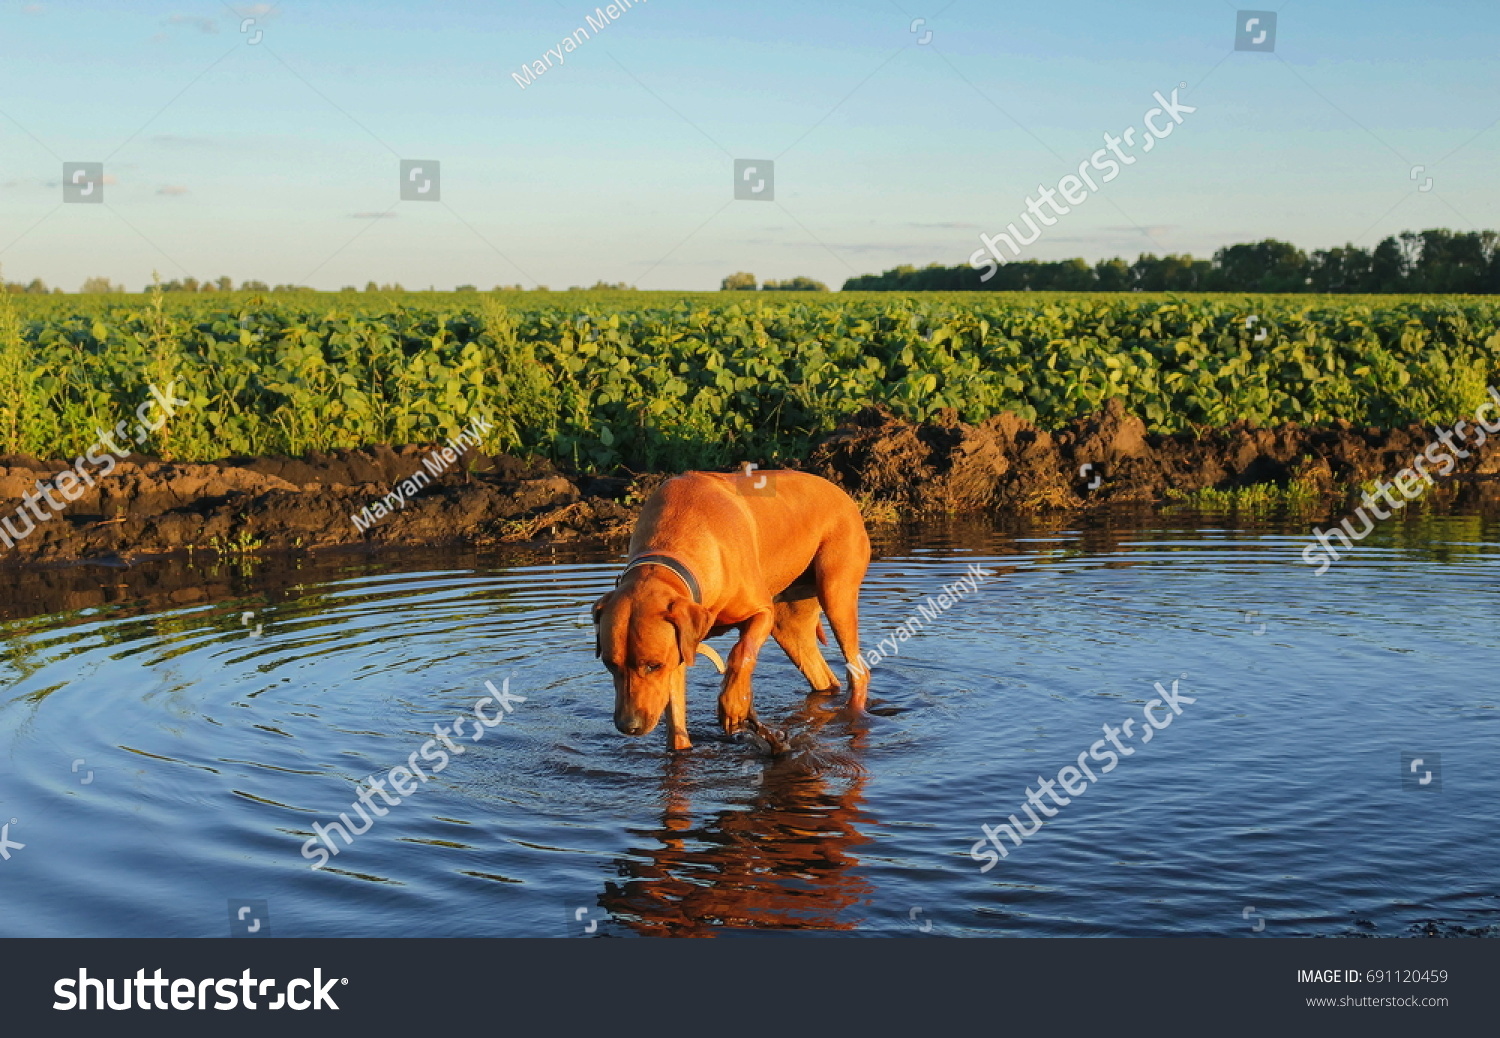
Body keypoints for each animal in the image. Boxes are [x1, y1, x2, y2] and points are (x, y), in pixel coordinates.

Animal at [591, 468, 876, 747]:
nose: (629, 726)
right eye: (610, 664)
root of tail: (841, 492)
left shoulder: (762, 612)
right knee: (823, 677)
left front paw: (733, 704)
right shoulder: (677, 651)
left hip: (836, 592)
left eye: (653, 665)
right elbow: (676, 722)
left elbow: (742, 651)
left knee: (858, 671)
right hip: (789, 625)